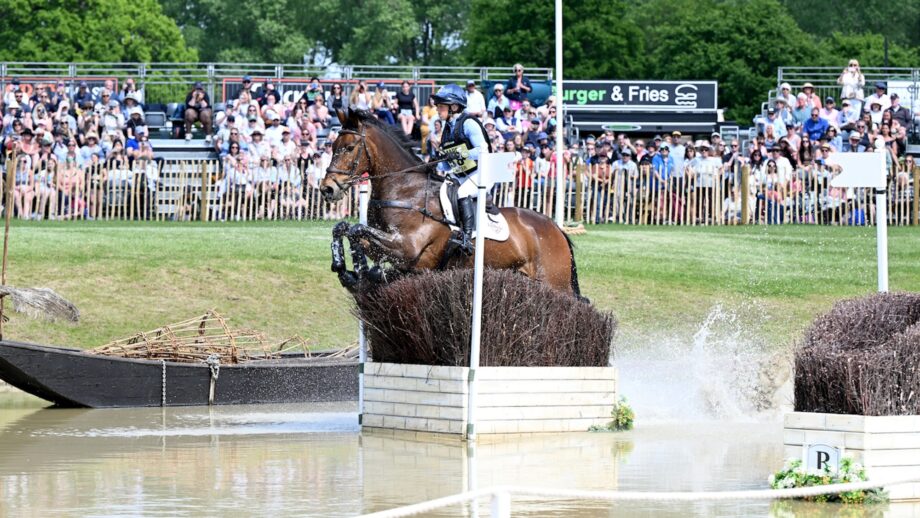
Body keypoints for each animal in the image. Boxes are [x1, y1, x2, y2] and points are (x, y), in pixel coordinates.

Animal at [320, 109, 582, 297]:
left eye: (349, 148)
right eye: (332, 147)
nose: (327, 188)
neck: (405, 189)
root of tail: (555, 228)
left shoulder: (407, 248)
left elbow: (356, 229)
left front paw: (357, 270)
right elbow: (344, 228)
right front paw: (346, 268)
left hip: (554, 282)